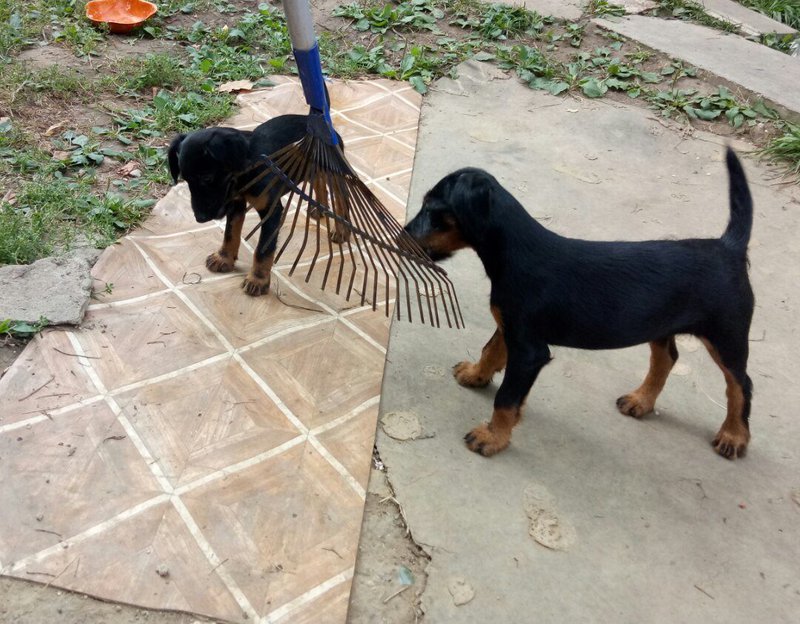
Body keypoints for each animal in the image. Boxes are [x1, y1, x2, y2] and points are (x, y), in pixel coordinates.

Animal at [168, 114, 345, 296]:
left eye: (207, 178)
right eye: (185, 180)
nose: (200, 218)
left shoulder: (271, 212)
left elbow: (263, 250)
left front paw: (257, 280)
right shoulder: (236, 205)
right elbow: (230, 233)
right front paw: (224, 258)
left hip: (335, 174)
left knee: (341, 200)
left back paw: (340, 231)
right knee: (319, 184)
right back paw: (320, 210)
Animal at [404, 148, 754, 460]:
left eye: (431, 209)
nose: (400, 236)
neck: (514, 250)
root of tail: (728, 247)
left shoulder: (529, 350)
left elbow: (506, 399)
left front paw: (492, 438)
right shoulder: (511, 327)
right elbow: (491, 349)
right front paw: (476, 374)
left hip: (727, 335)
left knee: (740, 383)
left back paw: (733, 436)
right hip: (662, 324)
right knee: (666, 358)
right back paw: (641, 400)